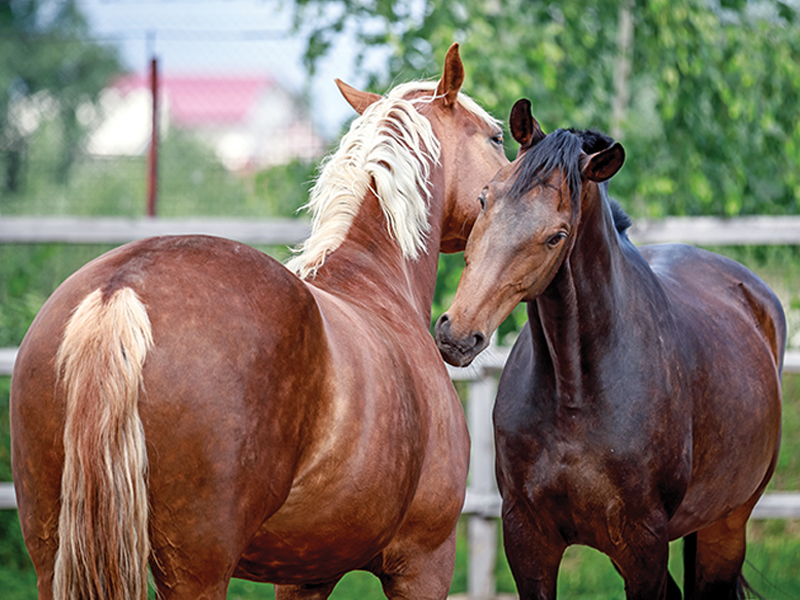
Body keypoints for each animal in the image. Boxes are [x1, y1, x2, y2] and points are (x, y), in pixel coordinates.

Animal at [10, 43, 509, 600]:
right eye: (496, 136)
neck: (376, 279)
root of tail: (121, 288)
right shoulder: (424, 563)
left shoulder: (306, 571)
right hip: (197, 570)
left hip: (52, 555)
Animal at [434, 99, 785, 600]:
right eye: (485, 198)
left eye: (557, 236)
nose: (458, 334)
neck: (576, 392)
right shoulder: (527, 537)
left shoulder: (643, 544)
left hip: (727, 526)